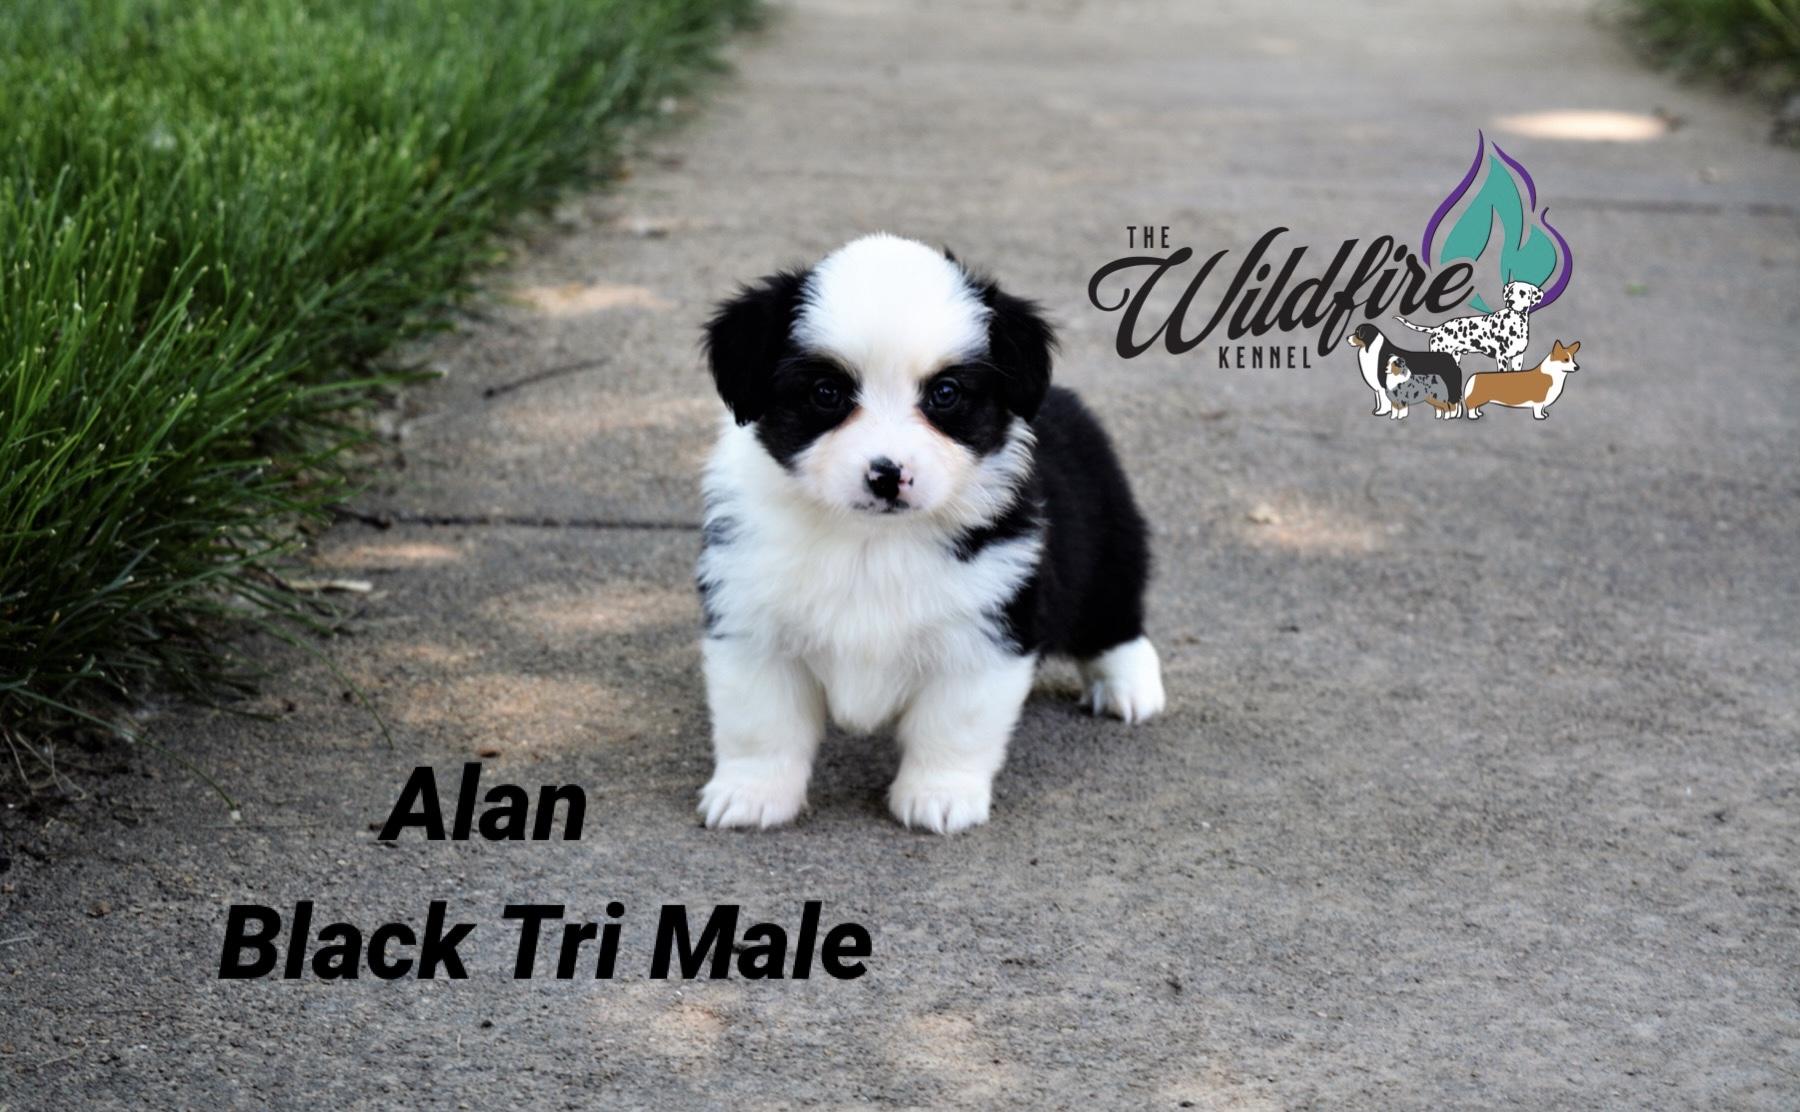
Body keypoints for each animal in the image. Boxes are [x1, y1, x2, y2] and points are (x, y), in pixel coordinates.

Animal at [695, 234, 1164, 834]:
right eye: (825, 392)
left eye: (945, 393)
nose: (887, 474)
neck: (869, 541)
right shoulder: (752, 624)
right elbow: (761, 723)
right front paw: (752, 795)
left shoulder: (983, 633)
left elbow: (951, 727)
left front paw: (938, 796)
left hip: (1107, 539)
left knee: (1115, 618)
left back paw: (1129, 688)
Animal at [1394, 280, 1542, 371]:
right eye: (1511, 291)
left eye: (1522, 293)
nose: (1510, 301)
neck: (1516, 323)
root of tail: (1438, 328)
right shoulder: (1502, 358)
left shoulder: (1518, 357)